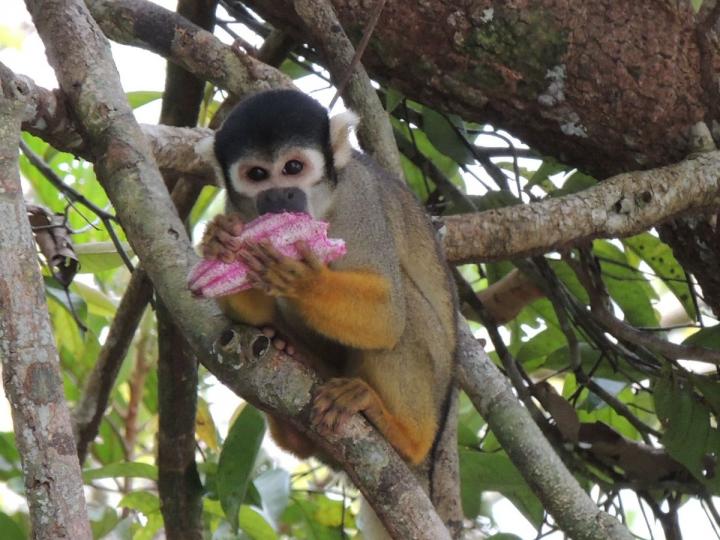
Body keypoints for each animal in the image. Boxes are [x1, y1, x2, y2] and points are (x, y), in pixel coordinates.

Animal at [199, 88, 457, 469]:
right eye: (257, 174)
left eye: (293, 168)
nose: (279, 196)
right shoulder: (241, 211)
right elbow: (249, 314)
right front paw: (217, 242)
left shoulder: (360, 197)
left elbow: (387, 316)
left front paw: (304, 280)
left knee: (405, 310)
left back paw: (405, 436)